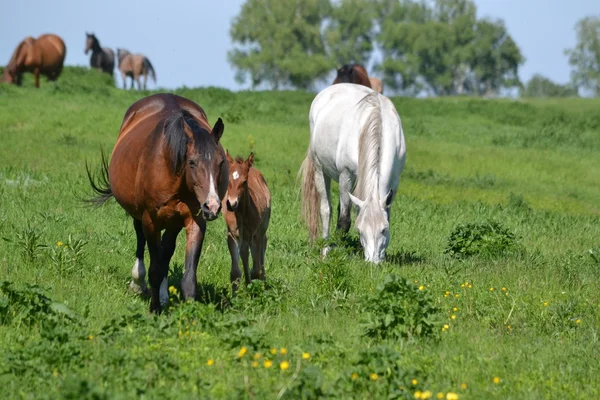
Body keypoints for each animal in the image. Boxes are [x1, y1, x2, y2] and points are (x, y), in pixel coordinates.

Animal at [87, 94, 230, 312]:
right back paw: (138, 283)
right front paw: (154, 309)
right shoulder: (151, 221)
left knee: (166, 252)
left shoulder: (195, 221)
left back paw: (163, 295)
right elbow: (154, 268)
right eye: (192, 162)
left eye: (221, 162)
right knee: (141, 241)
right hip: (139, 215)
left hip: (173, 222)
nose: (212, 206)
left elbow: (187, 276)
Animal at [223, 152, 270, 292]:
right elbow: (235, 273)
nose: (231, 203)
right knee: (246, 250)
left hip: (262, 227)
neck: (242, 214)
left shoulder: (254, 232)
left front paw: (253, 286)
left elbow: (255, 267)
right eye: (228, 180)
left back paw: (261, 278)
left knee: (263, 243)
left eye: (244, 182)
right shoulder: (232, 234)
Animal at [300, 83, 408, 264]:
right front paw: (337, 253)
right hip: (320, 169)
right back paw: (325, 250)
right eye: (360, 230)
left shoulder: (395, 181)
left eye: (384, 230)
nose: (373, 262)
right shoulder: (346, 176)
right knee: (326, 210)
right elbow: (344, 221)